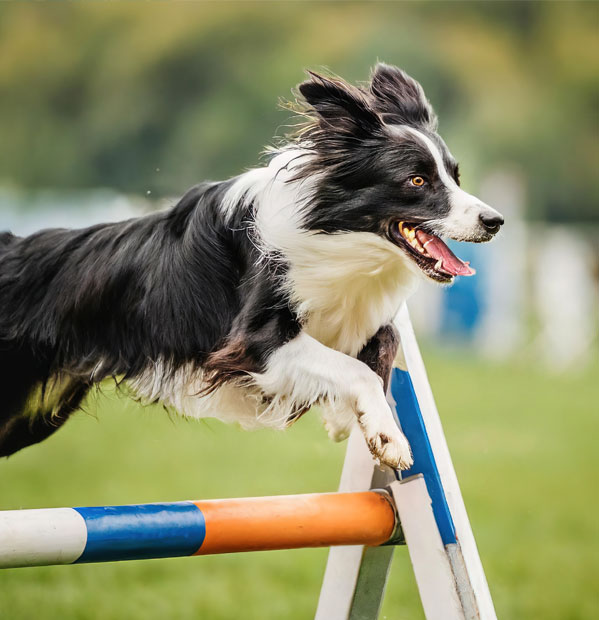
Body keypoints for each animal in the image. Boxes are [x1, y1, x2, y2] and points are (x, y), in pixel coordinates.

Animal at [0, 65, 506, 468]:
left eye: (455, 176)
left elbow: (384, 344)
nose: (495, 221)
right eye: (416, 181)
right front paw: (387, 437)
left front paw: (346, 419)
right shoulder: (254, 339)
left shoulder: (358, 316)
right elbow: (355, 369)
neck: (338, 238)